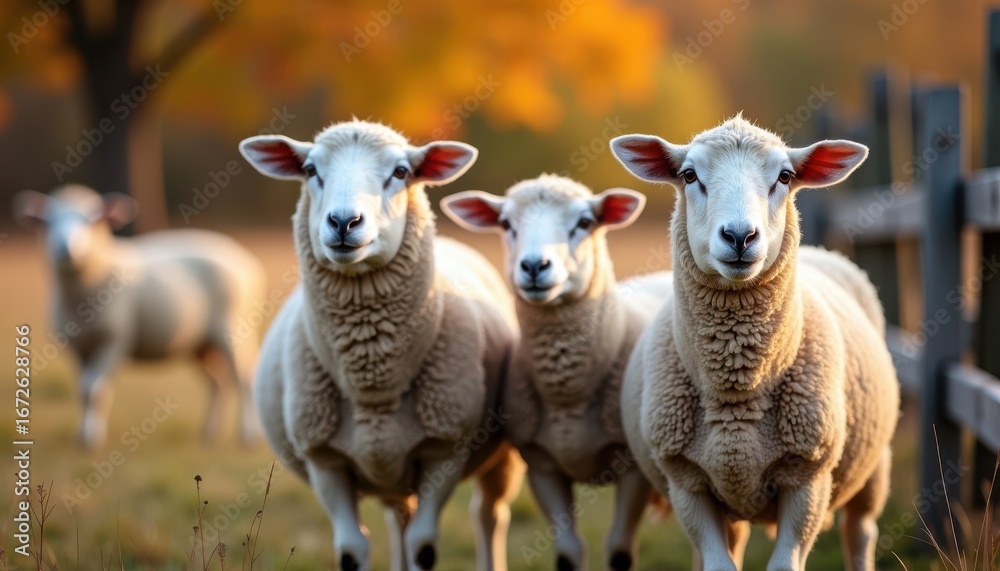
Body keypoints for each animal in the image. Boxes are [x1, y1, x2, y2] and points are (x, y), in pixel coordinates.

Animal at [12, 184, 266, 449]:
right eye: (47, 221)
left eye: (93, 220)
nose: (66, 250)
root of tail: (245, 258)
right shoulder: (77, 348)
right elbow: (83, 391)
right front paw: (82, 435)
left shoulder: (114, 341)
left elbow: (94, 389)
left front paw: (92, 440)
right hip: (201, 344)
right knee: (217, 382)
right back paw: (209, 433)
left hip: (234, 329)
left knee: (244, 378)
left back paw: (249, 435)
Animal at [238, 120, 525, 571]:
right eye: (310, 169)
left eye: (401, 172)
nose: (344, 221)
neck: (373, 384)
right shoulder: (325, 462)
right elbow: (353, 549)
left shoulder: (445, 451)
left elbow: (424, 546)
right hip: (389, 467)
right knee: (399, 521)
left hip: (499, 458)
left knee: (488, 515)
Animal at [441, 174, 672, 571]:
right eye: (506, 223)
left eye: (584, 222)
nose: (535, 266)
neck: (569, 395)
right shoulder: (542, 466)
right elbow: (568, 552)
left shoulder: (633, 470)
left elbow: (619, 550)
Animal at [609, 116, 900, 571]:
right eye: (689, 175)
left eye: (784, 177)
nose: (740, 236)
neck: (737, 394)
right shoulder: (687, 483)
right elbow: (718, 564)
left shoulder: (808, 479)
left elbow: (785, 564)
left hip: (872, 468)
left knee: (861, 533)